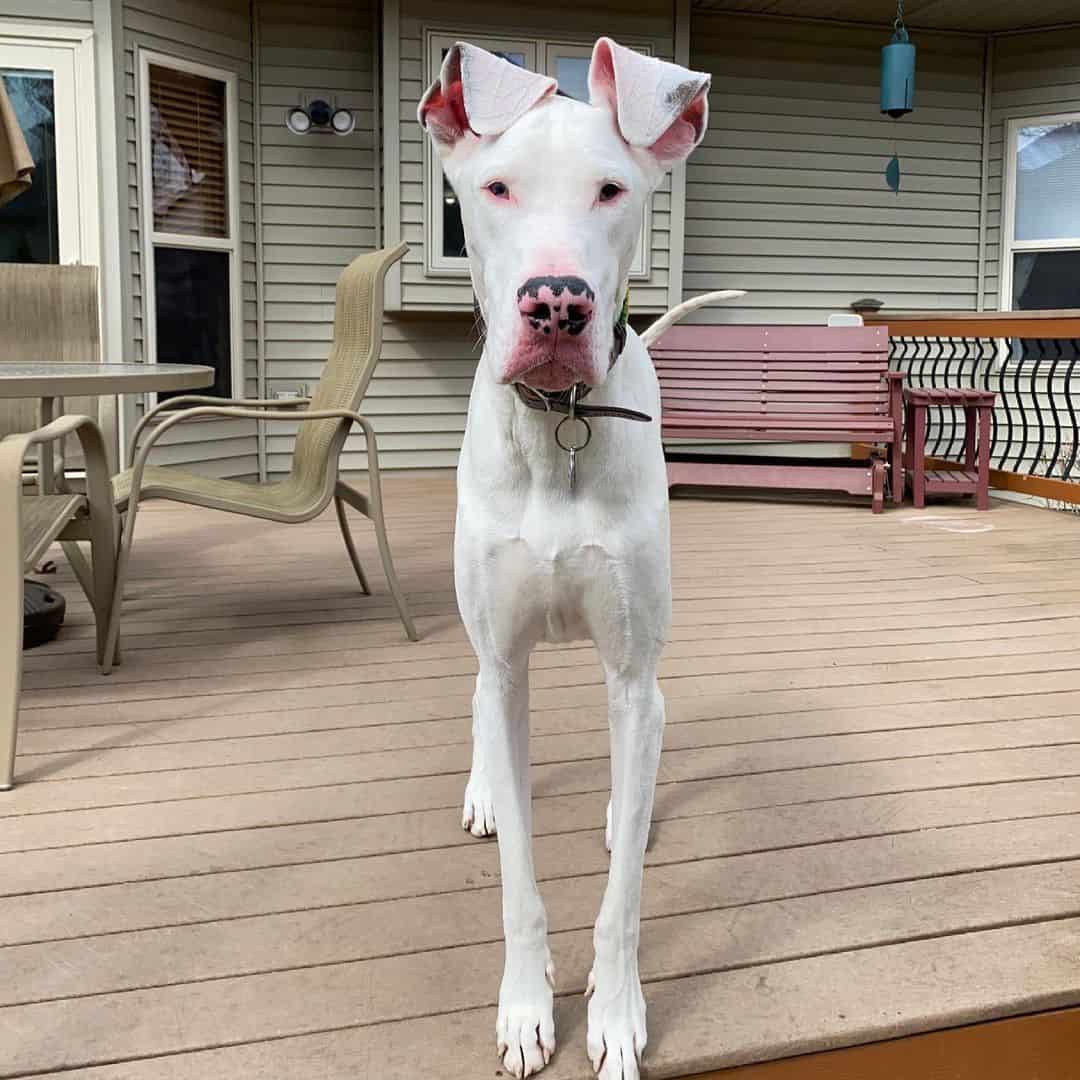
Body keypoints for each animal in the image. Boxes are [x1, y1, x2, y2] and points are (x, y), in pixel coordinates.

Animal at [416, 35, 721, 1080]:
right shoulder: (504, 663)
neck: (561, 429)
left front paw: (619, 1011)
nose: (557, 306)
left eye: (612, 190)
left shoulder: (632, 672)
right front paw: (523, 1007)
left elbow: (623, 895)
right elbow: (520, 878)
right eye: (494, 189)